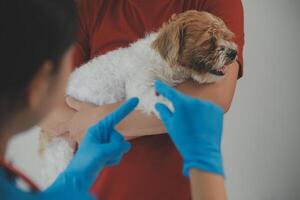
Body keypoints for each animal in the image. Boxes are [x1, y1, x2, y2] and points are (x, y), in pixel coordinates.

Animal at [39, 10, 237, 188]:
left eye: (225, 36)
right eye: (209, 40)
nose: (233, 52)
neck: (163, 62)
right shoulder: (140, 88)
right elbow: (159, 98)